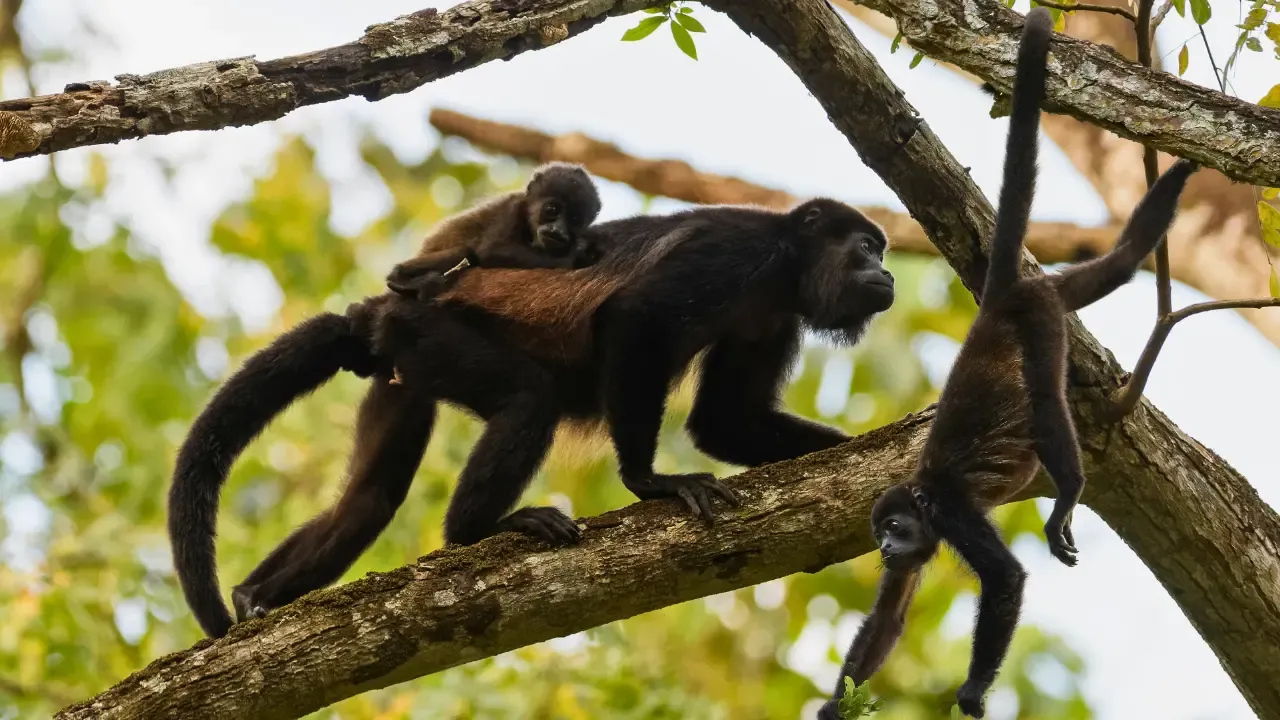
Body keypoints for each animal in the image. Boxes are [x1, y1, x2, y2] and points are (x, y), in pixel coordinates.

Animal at [170, 194, 896, 632]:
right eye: (866, 246)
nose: (888, 274)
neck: (785, 267)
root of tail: (380, 311)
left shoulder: (772, 315)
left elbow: (723, 419)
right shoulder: (735, 252)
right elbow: (635, 317)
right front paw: (651, 482)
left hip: (404, 362)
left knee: (369, 498)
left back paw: (254, 597)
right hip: (433, 332)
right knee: (530, 398)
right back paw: (478, 531)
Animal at [381, 160, 601, 299]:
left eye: (574, 220)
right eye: (552, 210)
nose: (557, 230)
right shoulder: (510, 210)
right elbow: (492, 250)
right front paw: (575, 256)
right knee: (466, 252)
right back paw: (399, 277)